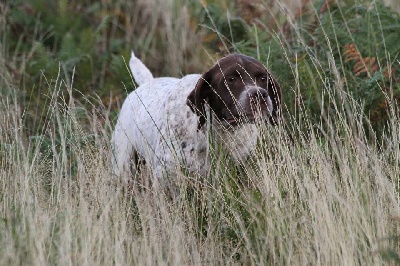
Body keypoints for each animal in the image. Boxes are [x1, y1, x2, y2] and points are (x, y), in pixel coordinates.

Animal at [111, 51, 282, 182]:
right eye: (231, 79)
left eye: (263, 78)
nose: (259, 94)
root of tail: (148, 82)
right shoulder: (166, 180)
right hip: (124, 165)